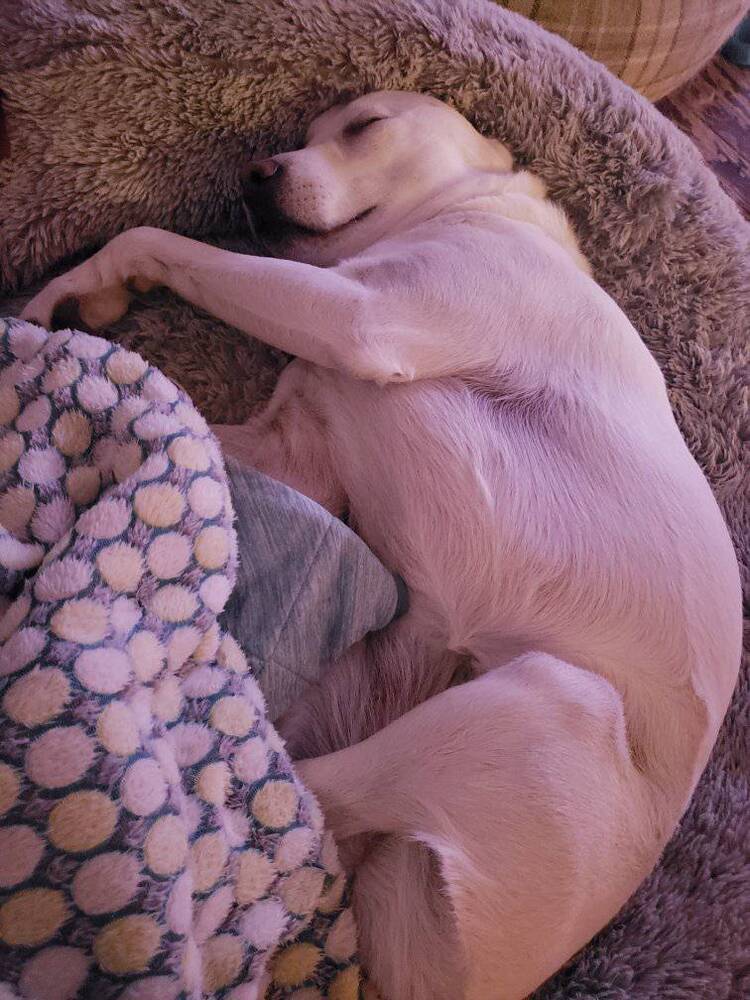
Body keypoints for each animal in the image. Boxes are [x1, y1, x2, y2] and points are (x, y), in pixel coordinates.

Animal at [20, 90, 744, 996]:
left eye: (366, 125)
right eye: (301, 136)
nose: (254, 174)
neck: (482, 209)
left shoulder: (362, 319)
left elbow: (155, 239)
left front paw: (78, 292)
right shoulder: (299, 444)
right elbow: (191, 396)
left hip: (535, 701)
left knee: (285, 793)